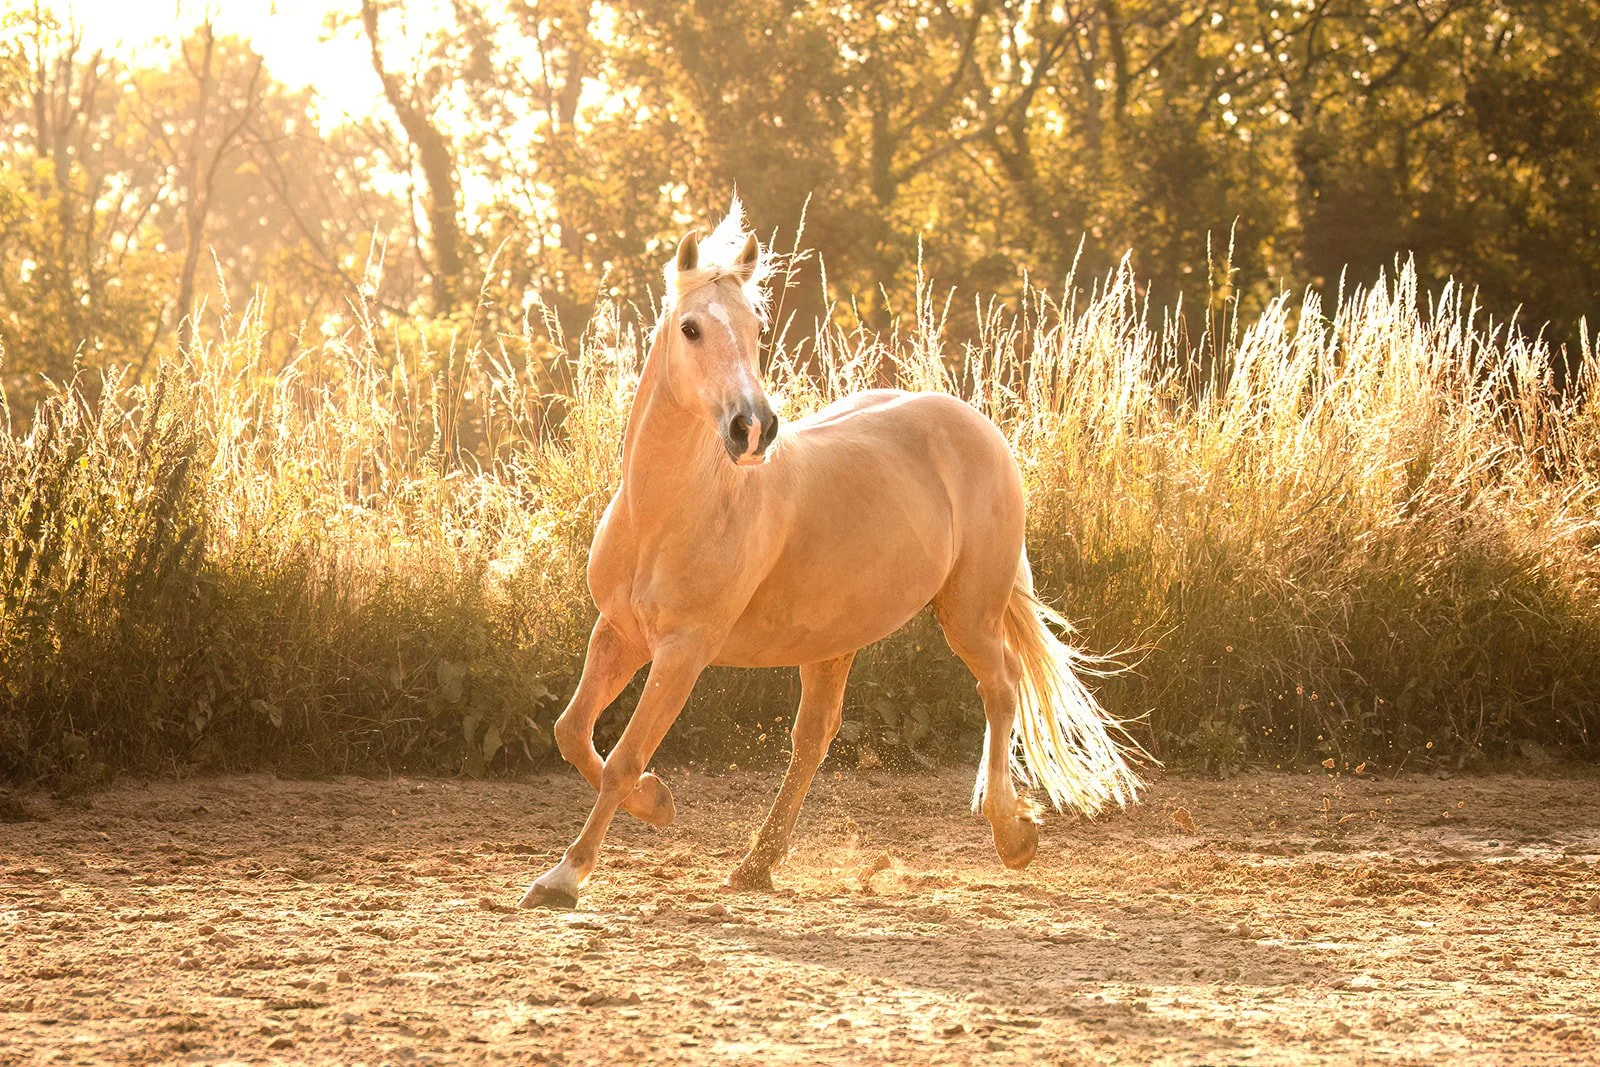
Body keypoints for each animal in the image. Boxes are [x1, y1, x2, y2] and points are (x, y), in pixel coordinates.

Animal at [520, 203, 1140, 910]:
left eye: (757, 328)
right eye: (691, 328)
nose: (753, 428)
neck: (669, 512)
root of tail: (973, 423)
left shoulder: (683, 651)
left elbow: (623, 756)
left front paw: (564, 877)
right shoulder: (620, 632)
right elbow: (572, 731)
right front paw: (658, 802)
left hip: (968, 613)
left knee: (1001, 687)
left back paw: (1012, 835)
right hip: (833, 643)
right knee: (814, 738)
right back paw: (756, 865)